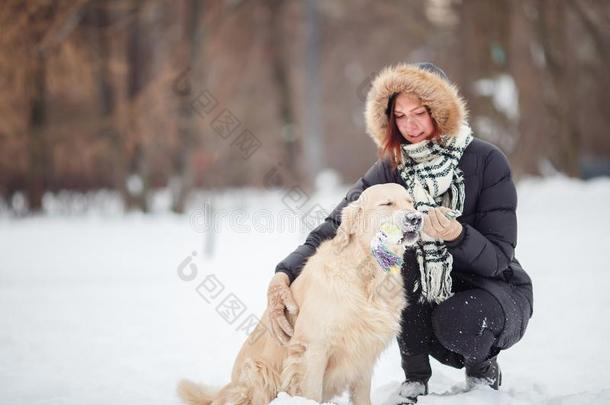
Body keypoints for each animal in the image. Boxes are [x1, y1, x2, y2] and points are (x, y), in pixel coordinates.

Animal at [177, 182, 422, 404]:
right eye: (387, 203)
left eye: (410, 202)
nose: (416, 218)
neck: (366, 272)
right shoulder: (313, 348)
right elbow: (311, 392)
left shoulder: (363, 353)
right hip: (258, 371)